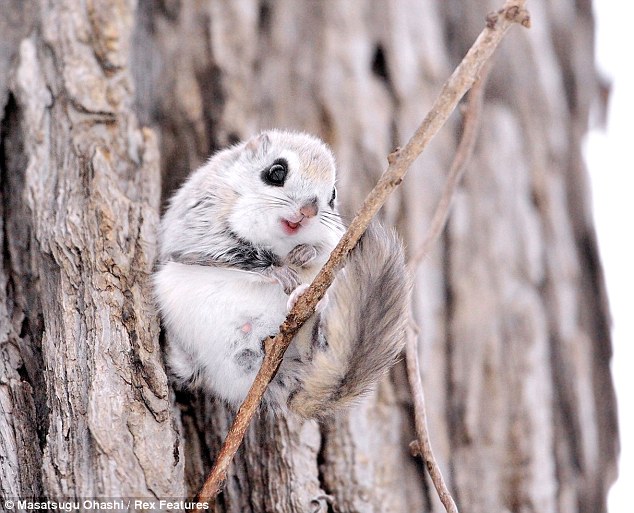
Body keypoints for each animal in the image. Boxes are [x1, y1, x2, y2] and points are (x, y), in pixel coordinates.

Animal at [156, 130, 408, 418]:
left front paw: (306, 253)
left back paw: (305, 302)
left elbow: (326, 251)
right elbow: (232, 253)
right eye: (276, 172)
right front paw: (279, 271)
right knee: (189, 371)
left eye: (333, 195)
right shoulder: (200, 224)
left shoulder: (335, 238)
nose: (309, 210)